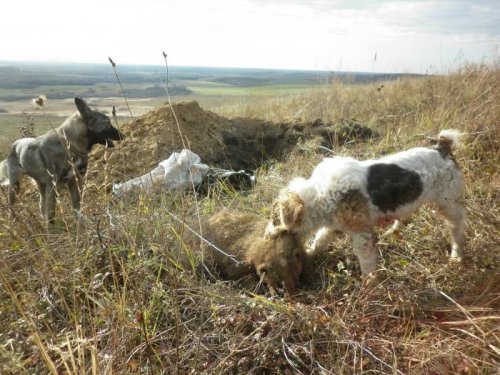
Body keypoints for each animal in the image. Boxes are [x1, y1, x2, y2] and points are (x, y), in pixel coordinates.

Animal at [0, 97, 124, 228]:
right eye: (108, 123)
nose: (123, 136)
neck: (69, 145)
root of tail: (15, 144)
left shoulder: (74, 183)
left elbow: (77, 210)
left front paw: (80, 228)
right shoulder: (53, 186)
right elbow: (51, 216)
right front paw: (51, 231)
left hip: (42, 187)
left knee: (41, 206)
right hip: (15, 187)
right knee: (12, 209)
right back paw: (14, 224)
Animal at [268, 129, 466, 280]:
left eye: (275, 219)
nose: (267, 235)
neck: (319, 194)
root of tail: (442, 148)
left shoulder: (361, 233)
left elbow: (366, 262)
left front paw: (368, 286)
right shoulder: (332, 226)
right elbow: (320, 241)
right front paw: (310, 252)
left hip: (449, 203)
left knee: (457, 230)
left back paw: (456, 257)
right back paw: (391, 231)